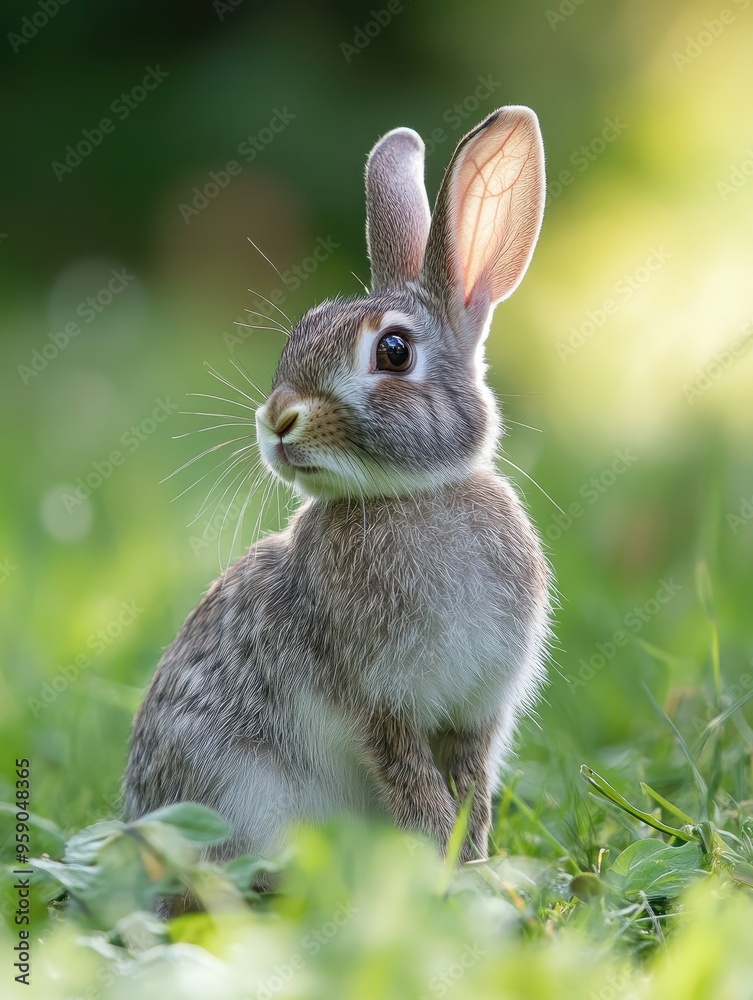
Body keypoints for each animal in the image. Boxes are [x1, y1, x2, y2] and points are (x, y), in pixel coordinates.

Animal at [124, 105, 551, 881]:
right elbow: (417, 789)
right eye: (301, 329)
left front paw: (472, 868)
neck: (414, 495)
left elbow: (470, 791)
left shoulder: (475, 713)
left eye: (394, 351)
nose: (275, 419)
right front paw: (451, 877)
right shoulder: (379, 705)